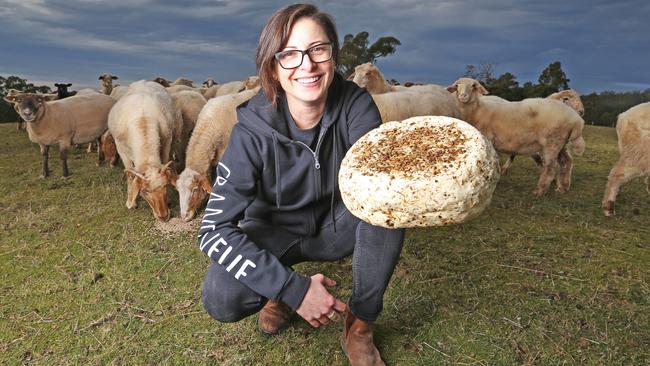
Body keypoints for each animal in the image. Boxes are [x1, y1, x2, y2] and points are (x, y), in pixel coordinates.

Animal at [107, 80, 181, 222]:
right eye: (144, 191)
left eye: (165, 186)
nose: (163, 216)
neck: (143, 120)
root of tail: (144, 81)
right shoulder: (120, 148)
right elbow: (130, 175)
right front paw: (131, 203)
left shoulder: (167, 141)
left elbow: (165, 160)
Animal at [446, 77, 584, 197]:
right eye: (457, 86)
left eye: (473, 86)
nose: (463, 96)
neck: (477, 110)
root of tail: (576, 120)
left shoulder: (488, 139)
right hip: (561, 143)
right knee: (566, 162)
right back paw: (563, 187)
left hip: (552, 142)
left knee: (551, 166)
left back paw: (540, 190)